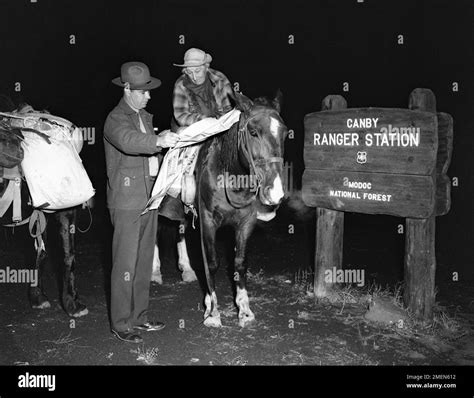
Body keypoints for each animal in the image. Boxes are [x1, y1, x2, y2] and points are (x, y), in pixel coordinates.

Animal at [194, 91, 286, 328]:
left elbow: (240, 263)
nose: (276, 191)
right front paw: (213, 312)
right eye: (253, 132)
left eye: (284, 133)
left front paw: (244, 310)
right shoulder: (207, 220)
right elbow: (211, 263)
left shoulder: (246, 223)